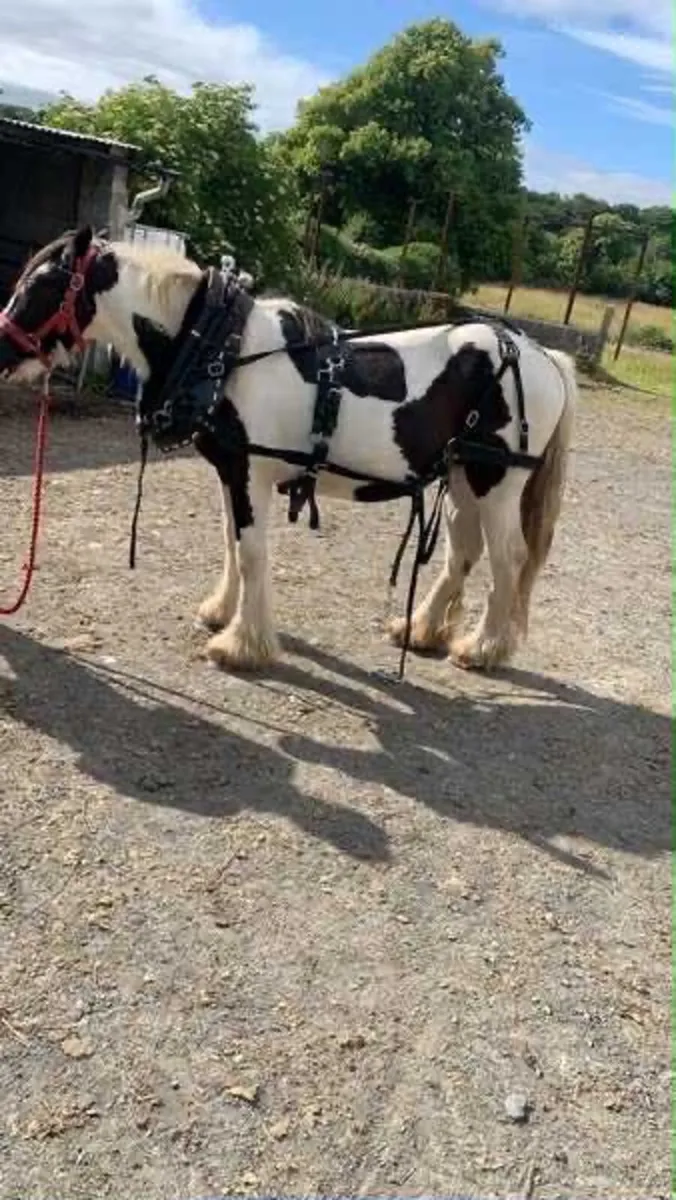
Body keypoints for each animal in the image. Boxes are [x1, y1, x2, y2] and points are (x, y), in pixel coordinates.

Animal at [0, 224, 577, 674]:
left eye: (43, 282)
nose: (2, 349)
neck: (222, 351)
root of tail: (542, 355)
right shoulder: (230, 472)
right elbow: (231, 543)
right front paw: (221, 611)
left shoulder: (250, 474)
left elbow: (253, 553)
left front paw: (242, 644)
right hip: (461, 478)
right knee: (463, 552)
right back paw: (422, 630)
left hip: (495, 481)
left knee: (509, 558)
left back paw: (482, 648)